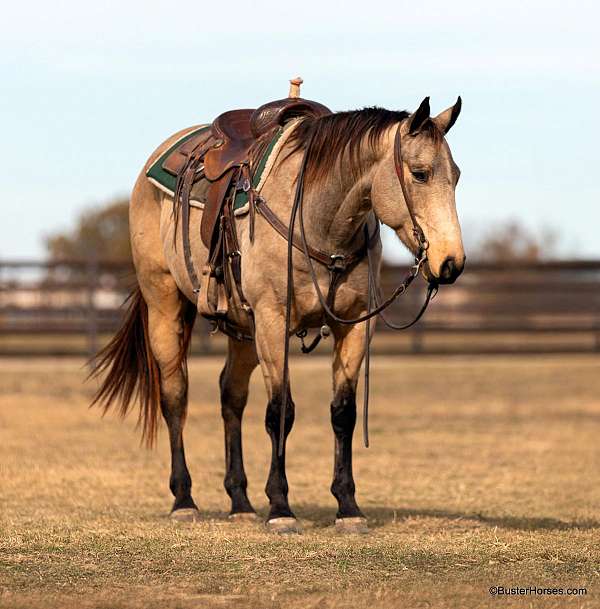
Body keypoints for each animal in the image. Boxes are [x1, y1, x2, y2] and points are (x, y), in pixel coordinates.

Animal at [90, 79, 464, 532]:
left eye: (456, 176)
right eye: (420, 173)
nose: (451, 262)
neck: (319, 220)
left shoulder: (355, 324)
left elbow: (343, 413)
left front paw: (348, 507)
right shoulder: (272, 321)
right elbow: (279, 412)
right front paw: (281, 507)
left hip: (243, 329)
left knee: (231, 396)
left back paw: (239, 500)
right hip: (165, 304)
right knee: (175, 395)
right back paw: (184, 499)